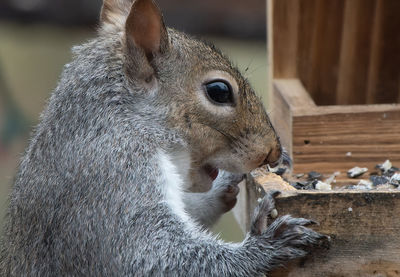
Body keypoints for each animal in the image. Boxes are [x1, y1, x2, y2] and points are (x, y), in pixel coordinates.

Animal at [0, 0, 326, 274]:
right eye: (219, 91)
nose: (273, 151)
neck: (125, 120)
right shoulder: (113, 177)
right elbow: (152, 257)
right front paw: (267, 244)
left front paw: (224, 185)